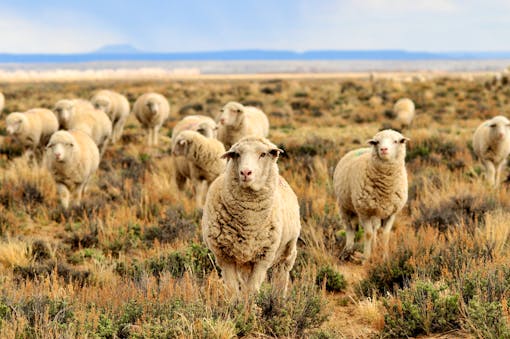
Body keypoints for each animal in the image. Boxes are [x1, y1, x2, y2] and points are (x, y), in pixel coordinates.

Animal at [201, 137, 300, 296]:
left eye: (263, 154)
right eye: (236, 154)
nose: (245, 172)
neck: (248, 222)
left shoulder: (263, 258)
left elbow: (252, 290)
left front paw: (250, 303)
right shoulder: (225, 257)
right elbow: (233, 290)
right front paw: (236, 303)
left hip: (287, 252)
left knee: (281, 276)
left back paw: (278, 298)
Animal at [332, 130, 408, 262]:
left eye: (396, 141)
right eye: (376, 142)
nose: (383, 149)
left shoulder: (391, 213)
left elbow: (385, 234)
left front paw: (384, 257)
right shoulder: (364, 211)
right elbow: (368, 234)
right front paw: (366, 258)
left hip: (375, 211)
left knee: (375, 228)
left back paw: (374, 246)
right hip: (344, 206)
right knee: (349, 228)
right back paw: (348, 250)